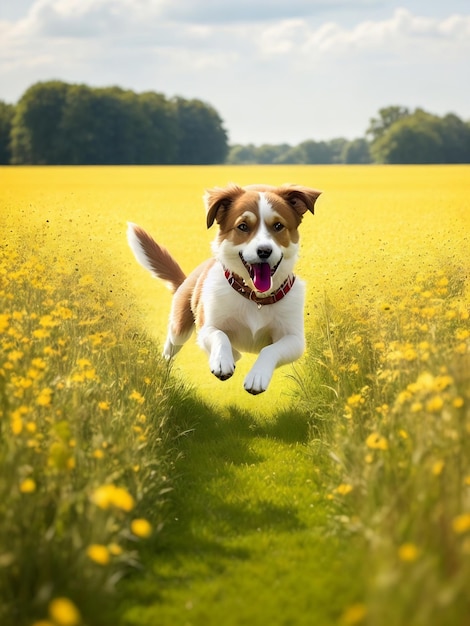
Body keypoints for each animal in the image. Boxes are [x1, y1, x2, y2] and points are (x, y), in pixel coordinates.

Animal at [126, 183, 322, 392]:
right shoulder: (207, 327)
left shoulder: (295, 339)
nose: (264, 251)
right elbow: (220, 335)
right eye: (243, 226)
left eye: (278, 226)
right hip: (179, 328)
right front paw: (222, 361)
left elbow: (270, 349)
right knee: (171, 347)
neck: (256, 298)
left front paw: (257, 376)